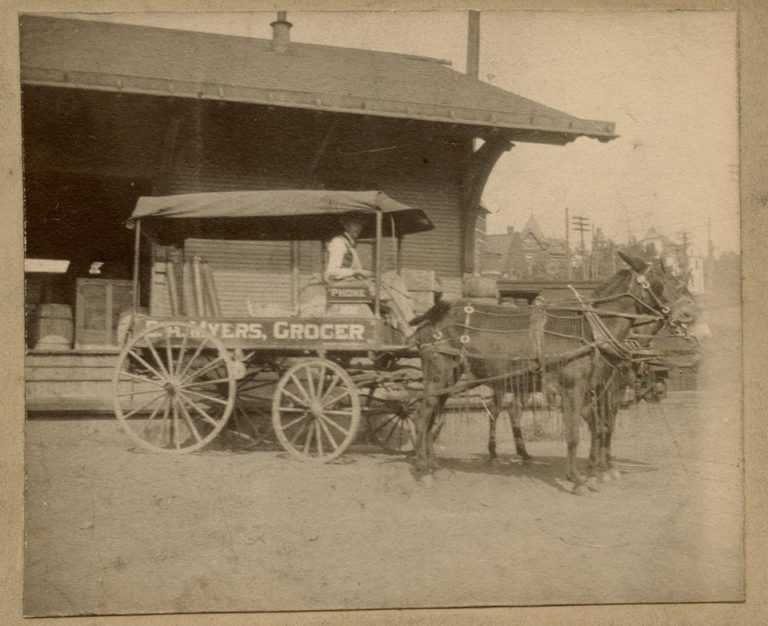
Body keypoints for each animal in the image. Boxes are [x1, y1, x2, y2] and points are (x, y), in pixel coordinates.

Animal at [412, 251, 700, 494]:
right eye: (661, 281)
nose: (691, 313)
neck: (591, 330)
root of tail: (435, 315)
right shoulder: (574, 389)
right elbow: (575, 433)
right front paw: (578, 479)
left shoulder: (595, 389)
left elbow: (599, 428)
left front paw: (595, 472)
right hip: (438, 372)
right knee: (423, 413)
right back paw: (423, 469)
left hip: (454, 376)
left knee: (438, 415)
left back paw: (434, 466)